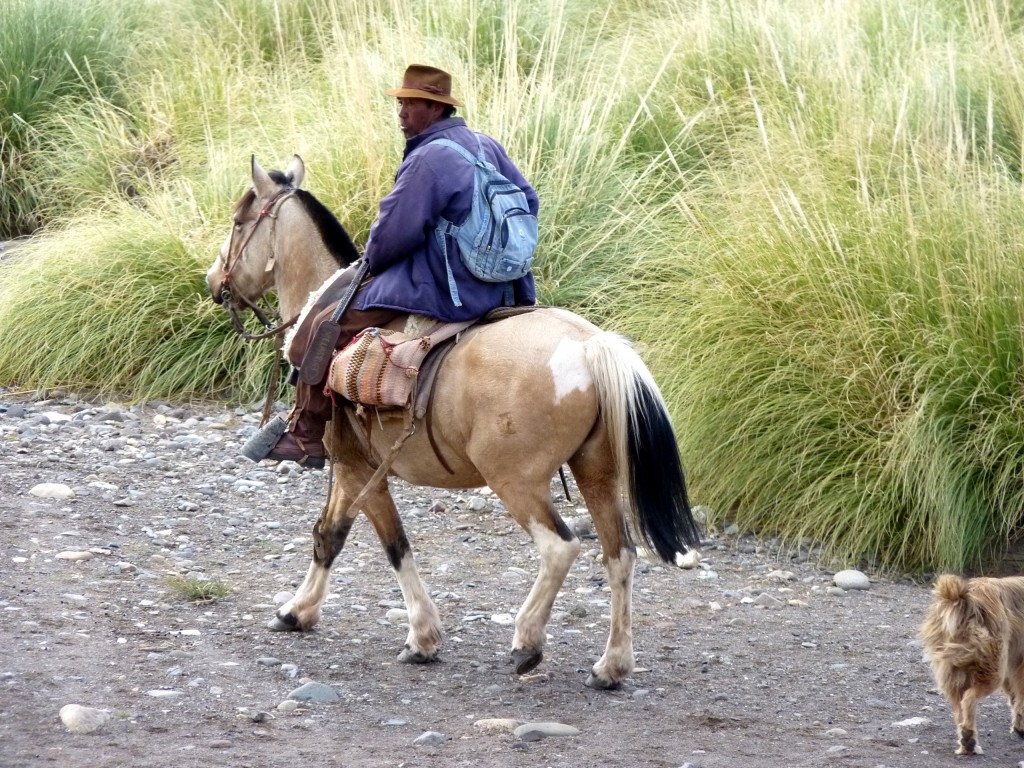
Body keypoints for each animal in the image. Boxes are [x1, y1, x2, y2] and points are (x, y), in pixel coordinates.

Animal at [203, 156, 700, 692]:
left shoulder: (359, 470)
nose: (214, 281)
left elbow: (386, 544)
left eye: (238, 222)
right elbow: (330, 535)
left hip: (516, 481)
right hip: (596, 473)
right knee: (619, 554)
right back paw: (611, 665)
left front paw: (420, 636)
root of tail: (590, 344)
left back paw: (527, 641)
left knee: (560, 547)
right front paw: (298, 612)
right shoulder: (354, 472)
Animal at [917, 573, 1024, 753]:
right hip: (993, 668)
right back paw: (969, 738)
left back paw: (967, 741)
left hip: (953, 672)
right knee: (969, 699)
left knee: (959, 709)